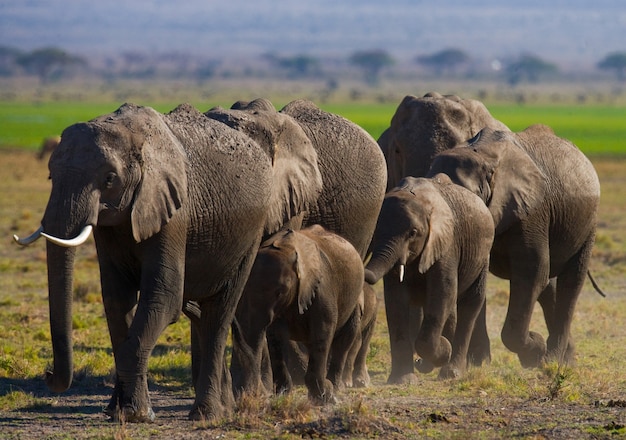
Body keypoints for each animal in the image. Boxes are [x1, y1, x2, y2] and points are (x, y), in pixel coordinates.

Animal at [232, 225, 364, 404]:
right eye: (244, 290)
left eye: (280, 292)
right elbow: (276, 337)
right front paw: (283, 395)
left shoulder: (322, 288)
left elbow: (322, 331)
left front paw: (324, 396)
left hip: (354, 299)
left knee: (344, 340)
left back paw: (335, 389)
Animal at [360, 174, 492, 380]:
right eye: (375, 232)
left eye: (413, 233)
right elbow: (396, 300)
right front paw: (403, 380)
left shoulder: (447, 244)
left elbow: (442, 293)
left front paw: (444, 349)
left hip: (483, 256)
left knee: (470, 304)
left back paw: (450, 372)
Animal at [426, 124, 604, 368]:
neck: (482, 155)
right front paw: (479, 363)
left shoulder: (531, 211)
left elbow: (532, 272)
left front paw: (535, 350)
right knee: (549, 285)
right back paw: (565, 359)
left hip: (589, 221)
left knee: (570, 281)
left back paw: (553, 359)